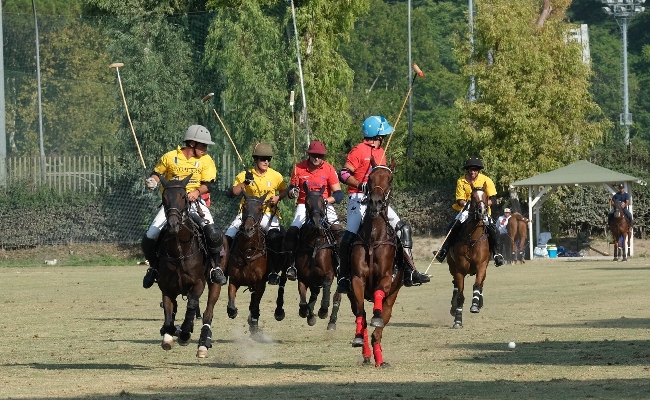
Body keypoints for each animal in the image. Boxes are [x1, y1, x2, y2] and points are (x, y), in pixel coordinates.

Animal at [154, 175, 225, 360]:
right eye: (164, 197)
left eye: (183, 196)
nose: (173, 224)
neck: (180, 249)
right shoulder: (167, 287)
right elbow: (168, 311)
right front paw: (169, 333)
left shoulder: (198, 283)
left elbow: (192, 305)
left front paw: (185, 333)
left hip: (215, 283)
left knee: (207, 312)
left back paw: (203, 344)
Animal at [225, 191, 268, 338]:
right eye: (244, 206)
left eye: (260, 209)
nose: (248, 229)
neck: (248, 250)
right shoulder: (234, 280)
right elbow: (231, 304)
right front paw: (233, 312)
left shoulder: (260, 283)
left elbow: (255, 306)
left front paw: (254, 324)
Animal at [446, 184, 492, 328]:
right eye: (472, 196)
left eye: (486, 196)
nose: (481, 211)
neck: (472, 238)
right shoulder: (460, 270)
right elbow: (460, 296)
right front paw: (457, 321)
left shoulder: (482, 265)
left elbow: (477, 284)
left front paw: (475, 305)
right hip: (452, 267)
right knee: (455, 284)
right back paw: (453, 306)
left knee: (481, 283)